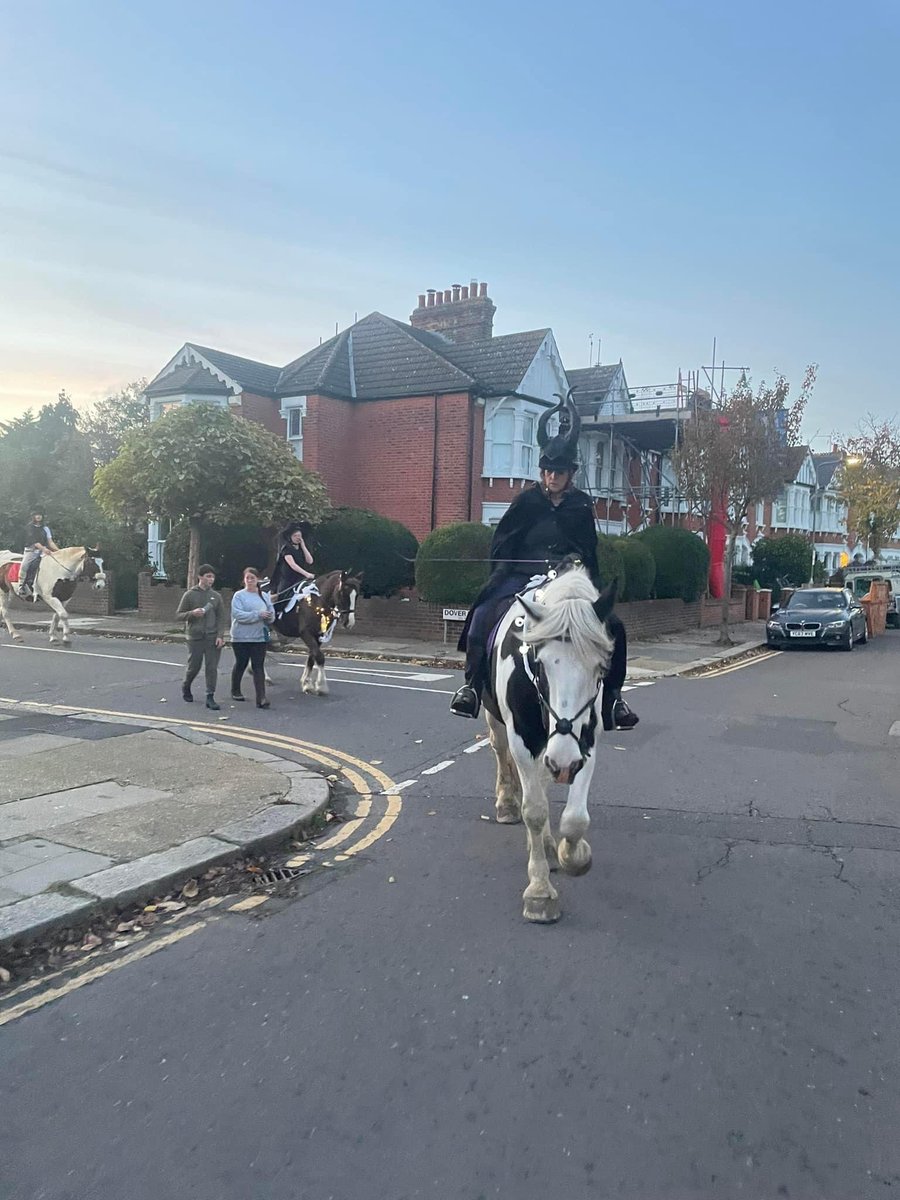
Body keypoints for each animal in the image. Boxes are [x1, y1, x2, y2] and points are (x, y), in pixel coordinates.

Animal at [267, 568, 362, 696]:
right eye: (343, 593)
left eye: (356, 595)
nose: (349, 622)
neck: (317, 601)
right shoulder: (306, 633)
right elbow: (319, 657)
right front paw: (321, 686)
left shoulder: (318, 635)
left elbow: (312, 658)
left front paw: (307, 684)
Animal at [482, 566, 619, 921]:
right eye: (541, 664)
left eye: (600, 666)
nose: (565, 763)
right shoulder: (523, 738)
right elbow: (534, 810)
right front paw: (540, 892)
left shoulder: (585, 741)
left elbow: (575, 818)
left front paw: (574, 855)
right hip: (497, 722)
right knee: (500, 753)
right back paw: (506, 803)